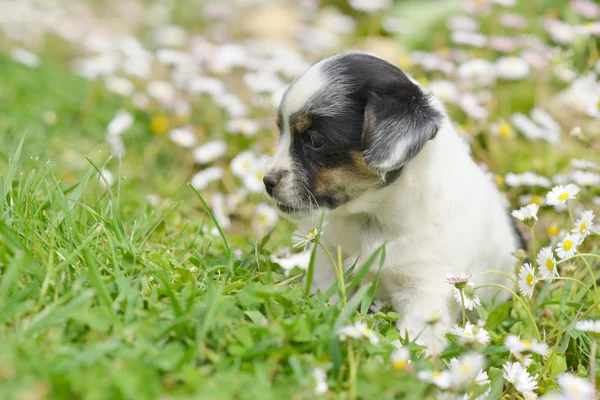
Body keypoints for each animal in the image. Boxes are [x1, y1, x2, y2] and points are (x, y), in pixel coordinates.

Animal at [262, 50, 520, 354]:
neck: (375, 219)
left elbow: (412, 342)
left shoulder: (426, 290)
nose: (266, 181)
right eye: (281, 132)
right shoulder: (330, 262)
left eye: (315, 139)